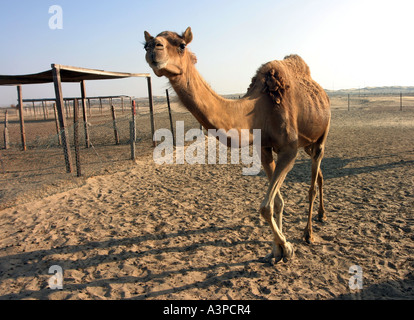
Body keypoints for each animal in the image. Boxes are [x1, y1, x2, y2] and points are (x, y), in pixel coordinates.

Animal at [144, 27, 332, 262]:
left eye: (181, 45)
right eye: (146, 44)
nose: (153, 48)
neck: (259, 109)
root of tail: (323, 94)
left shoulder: (289, 150)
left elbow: (266, 206)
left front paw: (287, 247)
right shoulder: (264, 149)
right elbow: (277, 202)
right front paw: (277, 249)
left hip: (322, 133)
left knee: (313, 183)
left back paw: (308, 233)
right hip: (307, 143)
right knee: (320, 175)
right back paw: (322, 215)